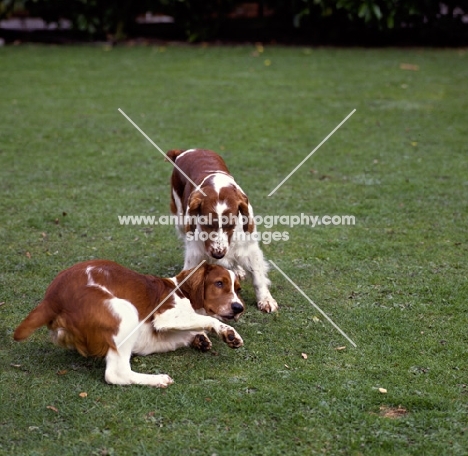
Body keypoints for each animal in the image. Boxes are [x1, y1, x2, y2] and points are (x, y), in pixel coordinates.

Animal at [12, 260, 243, 384]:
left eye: (238, 289)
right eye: (219, 283)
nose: (239, 307)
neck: (181, 289)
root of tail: (52, 298)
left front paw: (201, 338)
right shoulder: (166, 315)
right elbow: (207, 319)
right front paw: (227, 332)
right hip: (127, 312)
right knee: (116, 373)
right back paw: (158, 379)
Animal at [167, 149, 278, 314]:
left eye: (231, 224)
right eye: (206, 224)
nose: (218, 254)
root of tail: (186, 151)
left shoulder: (249, 246)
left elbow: (258, 276)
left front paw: (266, 300)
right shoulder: (195, 251)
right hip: (180, 219)